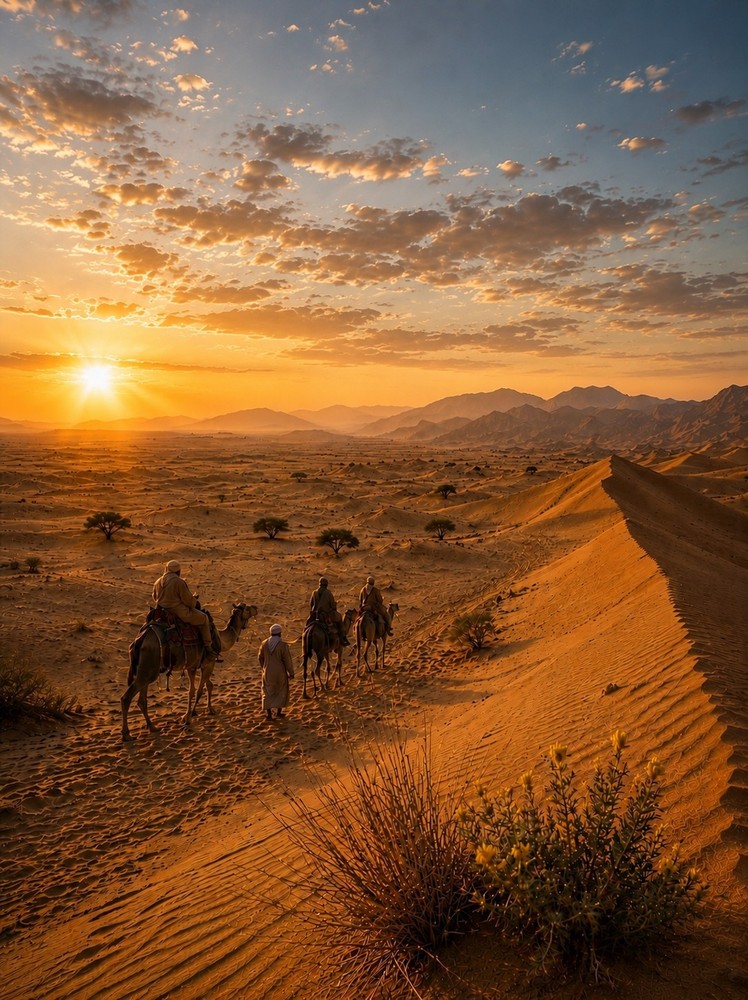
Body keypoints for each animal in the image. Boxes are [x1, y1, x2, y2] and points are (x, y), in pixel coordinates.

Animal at [121, 602, 257, 742]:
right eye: (246, 608)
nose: (256, 608)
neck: (220, 638)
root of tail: (139, 639)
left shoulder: (192, 666)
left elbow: (198, 689)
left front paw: (205, 711)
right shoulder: (210, 662)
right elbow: (200, 690)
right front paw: (190, 716)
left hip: (147, 669)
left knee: (142, 699)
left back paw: (152, 726)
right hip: (148, 667)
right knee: (127, 698)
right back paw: (127, 734)